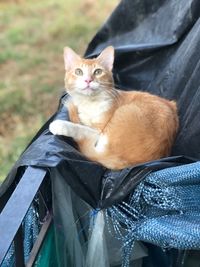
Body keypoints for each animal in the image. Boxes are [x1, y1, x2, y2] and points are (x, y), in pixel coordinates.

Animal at [49, 46, 179, 171]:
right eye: (78, 71)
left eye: (98, 71)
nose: (88, 80)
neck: (90, 103)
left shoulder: (98, 130)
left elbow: (81, 128)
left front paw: (60, 125)